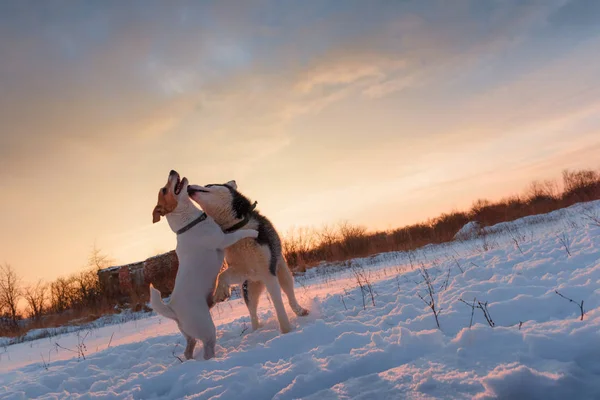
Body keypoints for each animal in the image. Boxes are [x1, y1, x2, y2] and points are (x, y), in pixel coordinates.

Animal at [150, 170, 258, 360]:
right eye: (164, 190)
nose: (172, 171)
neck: (189, 224)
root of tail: (173, 311)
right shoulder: (223, 239)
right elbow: (239, 233)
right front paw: (253, 232)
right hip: (206, 329)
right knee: (207, 350)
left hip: (190, 335)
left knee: (188, 350)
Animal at [188, 181, 310, 334]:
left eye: (208, 185)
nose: (187, 187)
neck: (237, 229)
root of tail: (260, 281)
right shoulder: (244, 270)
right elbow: (222, 275)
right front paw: (220, 292)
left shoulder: (269, 274)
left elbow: (279, 307)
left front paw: (286, 331)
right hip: (249, 289)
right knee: (252, 312)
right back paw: (255, 331)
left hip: (282, 274)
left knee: (289, 295)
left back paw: (299, 311)